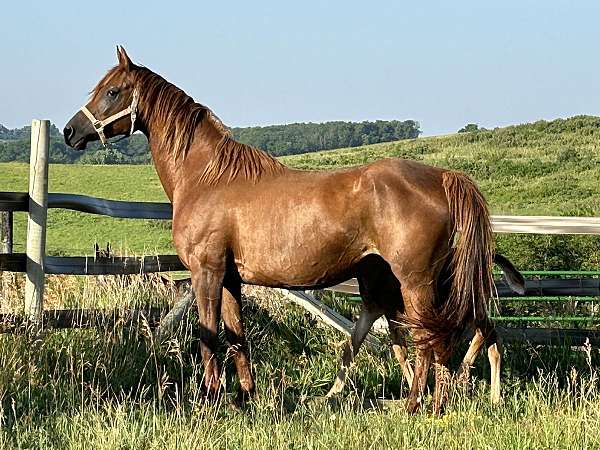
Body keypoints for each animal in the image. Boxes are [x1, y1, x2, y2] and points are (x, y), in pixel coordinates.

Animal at [64, 46, 516, 414]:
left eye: (113, 92)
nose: (70, 131)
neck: (208, 177)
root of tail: (442, 176)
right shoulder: (230, 278)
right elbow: (237, 336)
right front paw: (244, 398)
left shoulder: (206, 273)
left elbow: (209, 336)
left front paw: (209, 401)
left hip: (416, 282)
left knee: (432, 340)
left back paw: (423, 405)